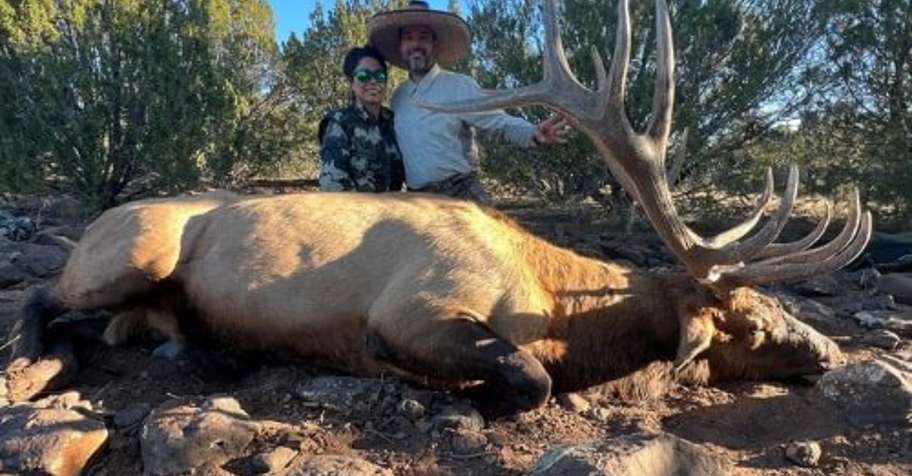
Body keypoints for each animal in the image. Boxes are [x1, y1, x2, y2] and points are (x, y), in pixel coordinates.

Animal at [4, 0, 870, 414]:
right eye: (751, 321)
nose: (831, 353)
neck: (555, 305)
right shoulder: (412, 310)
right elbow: (529, 378)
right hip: (130, 252)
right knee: (41, 293)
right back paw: (37, 358)